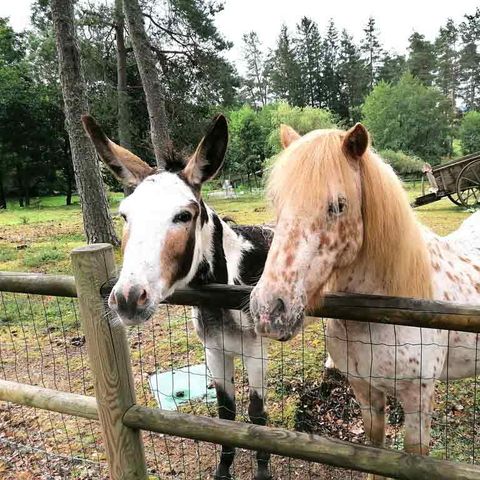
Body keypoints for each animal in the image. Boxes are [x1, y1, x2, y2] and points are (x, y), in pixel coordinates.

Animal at [82, 114, 273, 480]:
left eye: (184, 216)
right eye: (124, 215)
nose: (127, 299)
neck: (221, 297)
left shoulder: (255, 353)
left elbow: (257, 416)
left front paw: (263, 470)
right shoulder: (214, 351)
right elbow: (226, 414)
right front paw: (223, 469)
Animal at [250, 123, 480, 480]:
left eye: (338, 205)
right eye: (277, 202)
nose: (268, 310)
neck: (383, 314)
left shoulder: (418, 400)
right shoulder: (364, 390)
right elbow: (375, 449)